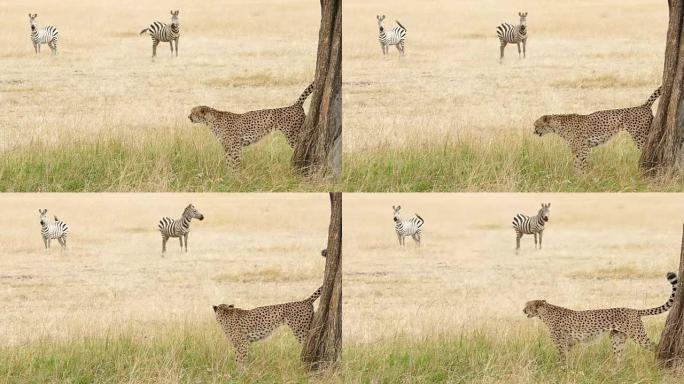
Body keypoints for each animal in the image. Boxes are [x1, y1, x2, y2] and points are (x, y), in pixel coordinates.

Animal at [187, 82, 316, 168]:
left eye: (193, 112)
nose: (188, 117)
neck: (210, 121)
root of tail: (295, 105)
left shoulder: (235, 147)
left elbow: (235, 163)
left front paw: (236, 179)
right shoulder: (227, 147)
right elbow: (228, 163)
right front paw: (228, 177)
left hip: (293, 136)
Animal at [524, 272, 680, 362]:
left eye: (527, 305)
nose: (523, 310)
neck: (544, 313)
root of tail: (634, 310)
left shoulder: (561, 343)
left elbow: (562, 359)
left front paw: (561, 371)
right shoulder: (568, 344)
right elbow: (566, 359)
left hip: (637, 335)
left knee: (655, 346)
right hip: (616, 338)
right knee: (620, 357)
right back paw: (616, 372)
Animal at [536, 88, 664, 173]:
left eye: (536, 125)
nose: (534, 132)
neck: (557, 126)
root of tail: (643, 106)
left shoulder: (584, 148)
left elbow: (581, 164)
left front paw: (581, 177)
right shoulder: (577, 149)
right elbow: (576, 163)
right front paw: (576, 177)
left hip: (640, 136)